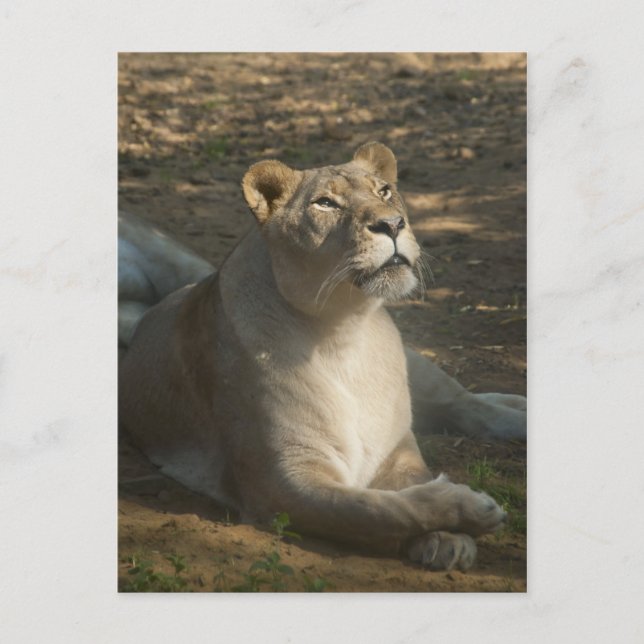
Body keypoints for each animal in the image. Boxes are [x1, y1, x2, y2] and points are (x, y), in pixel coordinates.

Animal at [119, 142, 526, 572]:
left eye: (384, 191)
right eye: (326, 203)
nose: (393, 224)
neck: (343, 332)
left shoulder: (397, 451)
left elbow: (410, 487)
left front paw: (450, 536)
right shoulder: (284, 482)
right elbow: (377, 509)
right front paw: (472, 511)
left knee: (465, 403)